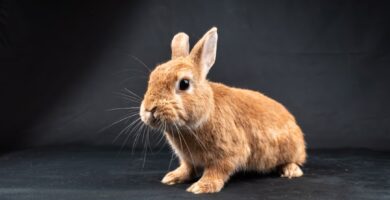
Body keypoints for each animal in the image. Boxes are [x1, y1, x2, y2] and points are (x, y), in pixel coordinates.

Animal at [139, 27, 306, 194]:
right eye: (152, 78)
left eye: (184, 83)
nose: (149, 108)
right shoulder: (188, 158)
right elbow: (187, 168)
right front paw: (172, 177)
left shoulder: (228, 154)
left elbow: (217, 170)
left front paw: (201, 187)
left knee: (293, 161)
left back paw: (291, 171)